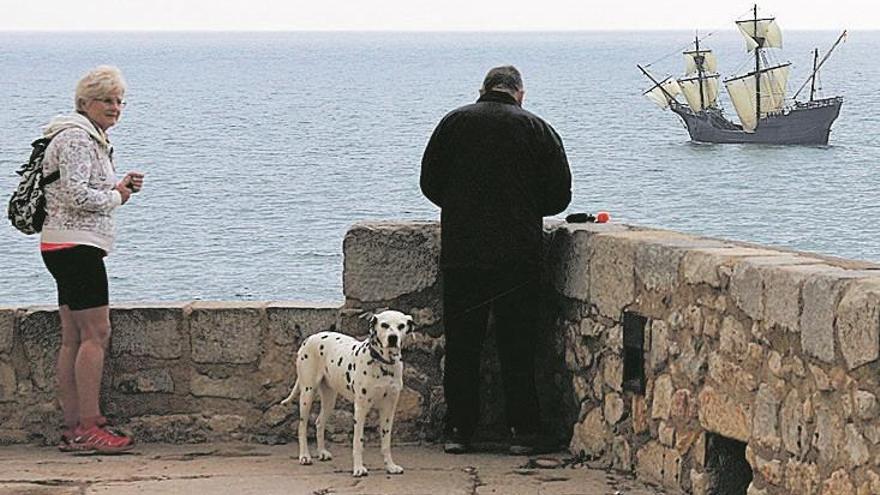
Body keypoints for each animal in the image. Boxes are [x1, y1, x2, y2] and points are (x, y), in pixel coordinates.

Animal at [280, 310, 414, 476]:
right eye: (384, 325)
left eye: (401, 326)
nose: (393, 338)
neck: (383, 364)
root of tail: (310, 338)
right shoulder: (360, 409)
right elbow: (358, 442)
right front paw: (358, 468)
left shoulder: (389, 409)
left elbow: (386, 441)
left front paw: (390, 466)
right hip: (307, 394)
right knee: (302, 426)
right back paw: (304, 456)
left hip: (330, 400)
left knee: (319, 422)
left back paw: (321, 452)